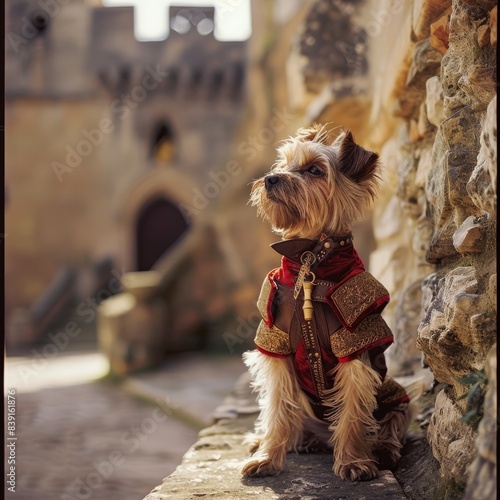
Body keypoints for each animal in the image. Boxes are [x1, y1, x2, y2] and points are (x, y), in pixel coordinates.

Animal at [241, 124, 410, 480]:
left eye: (314, 170)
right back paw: (282, 440)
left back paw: (384, 450)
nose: (270, 179)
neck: (311, 260)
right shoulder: (276, 343)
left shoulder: (354, 344)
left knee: (393, 423)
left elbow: (352, 414)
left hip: (395, 395)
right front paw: (267, 457)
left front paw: (354, 462)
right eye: (284, 164)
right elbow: (277, 407)